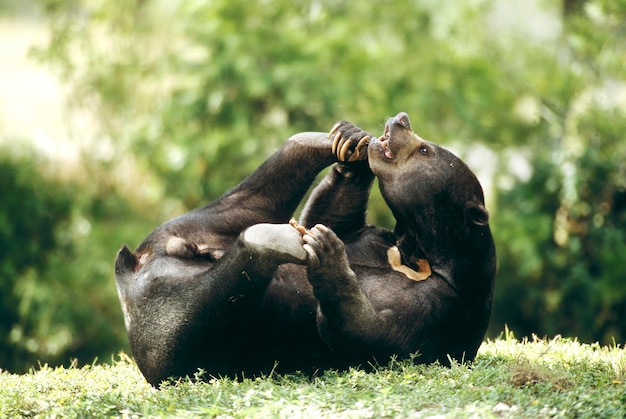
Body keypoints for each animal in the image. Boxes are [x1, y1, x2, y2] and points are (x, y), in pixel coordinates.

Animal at [111, 112, 492, 388]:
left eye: (424, 150)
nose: (400, 119)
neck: (417, 252)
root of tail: (132, 274)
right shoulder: (373, 239)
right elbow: (328, 219)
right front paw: (352, 144)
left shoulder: (442, 310)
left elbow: (369, 337)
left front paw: (328, 254)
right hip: (189, 230)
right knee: (250, 203)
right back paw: (317, 143)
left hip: (182, 336)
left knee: (227, 285)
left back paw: (276, 239)